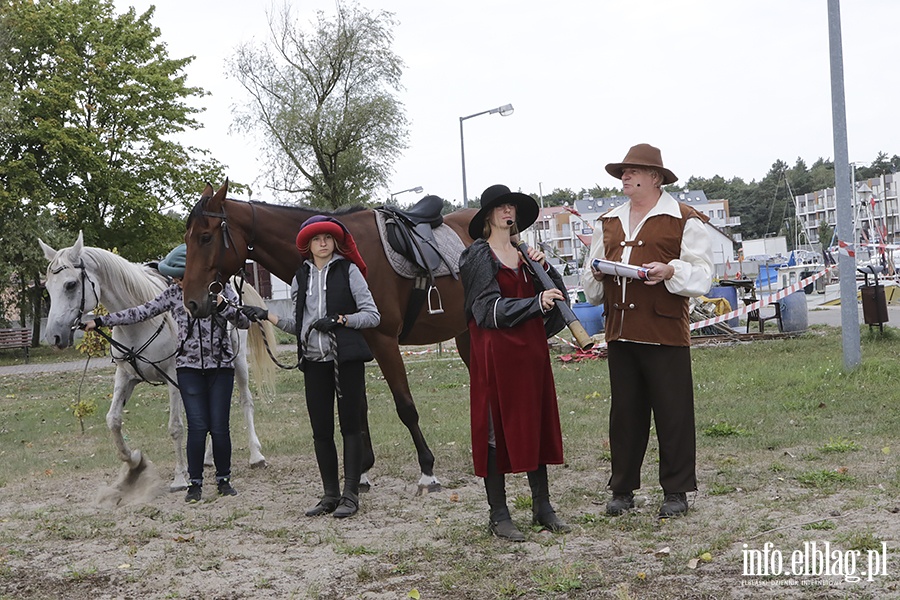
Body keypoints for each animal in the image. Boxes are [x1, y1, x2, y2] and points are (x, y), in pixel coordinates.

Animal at [39, 232, 278, 490]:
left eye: (70, 284)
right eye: (48, 287)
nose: (54, 336)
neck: (139, 325)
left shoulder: (174, 375)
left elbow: (175, 427)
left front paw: (180, 477)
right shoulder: (126, 376)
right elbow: (113, 420)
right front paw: (133, 460)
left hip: (238, 362)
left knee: (245, 401)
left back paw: (256, 455)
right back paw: (207, 458)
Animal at [182, 182, 478, 492]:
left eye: (205, 237)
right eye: (187, 238)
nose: (191, 302)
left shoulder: (384, 341)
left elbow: (405, 406)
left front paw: (427, 471)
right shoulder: (357, 344)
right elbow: (358, 407)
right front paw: (362, 472)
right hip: (465, 334)